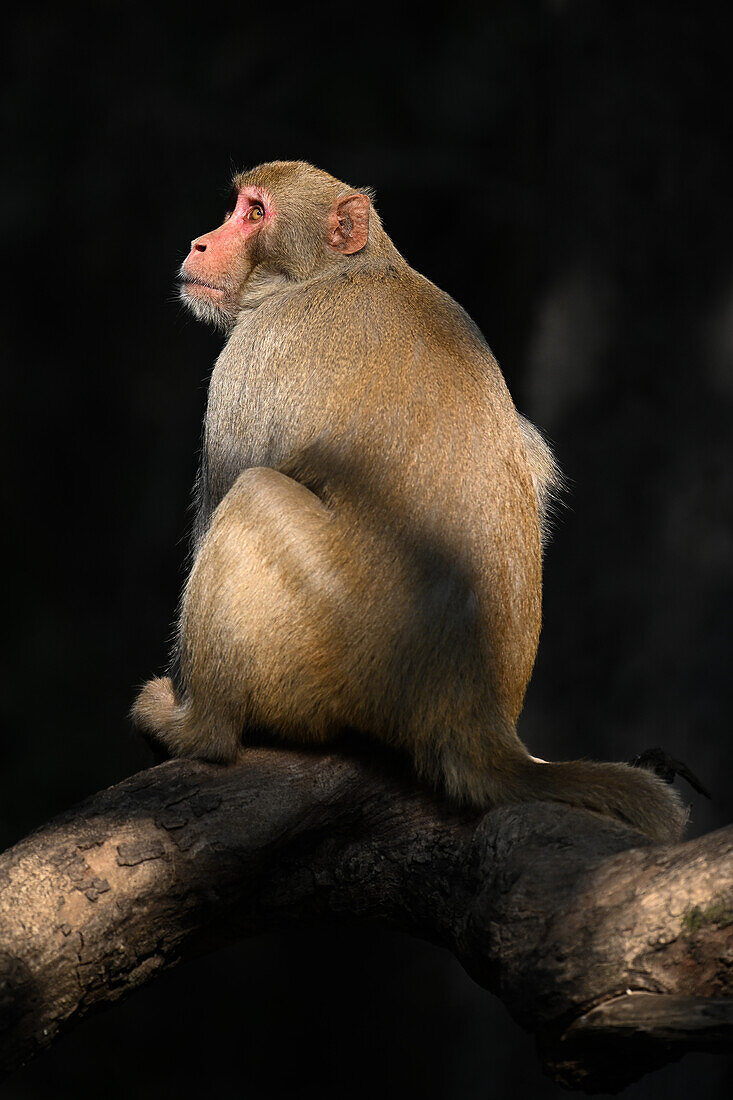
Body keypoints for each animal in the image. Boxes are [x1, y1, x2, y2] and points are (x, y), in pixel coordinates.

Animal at [132, 159, 686, 840]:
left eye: (256, 214)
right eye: (238, 206)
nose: (199, 244)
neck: (344, 269)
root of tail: (471, 710)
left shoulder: (252, 356)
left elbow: (222, 493)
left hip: (336, 656)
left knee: (253, 496)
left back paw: (201, 729)